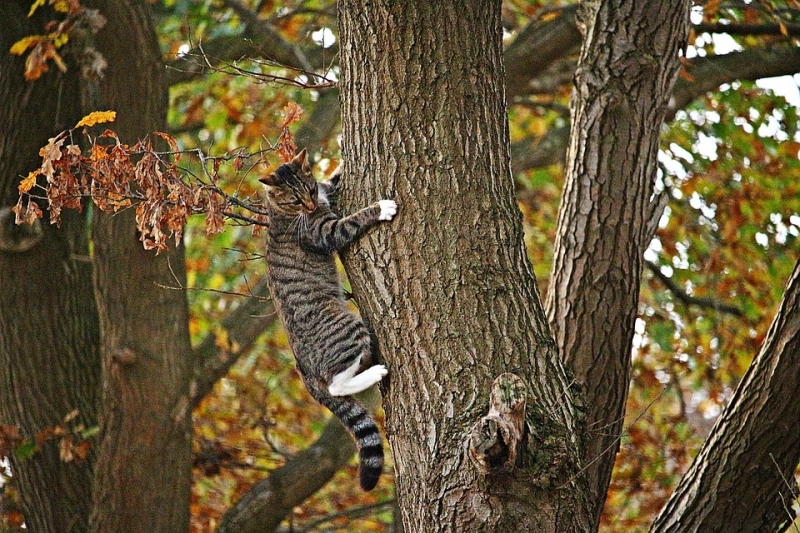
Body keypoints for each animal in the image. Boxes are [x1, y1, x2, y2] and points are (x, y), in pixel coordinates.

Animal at [260, 148, 396, 488]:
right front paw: (380, 208)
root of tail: (303, 369)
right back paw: (372, 374)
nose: (310, 206)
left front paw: (340, 162)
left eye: (309, 191)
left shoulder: (324, 190)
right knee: (335, 386)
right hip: (348, 327)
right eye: (294, 201)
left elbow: (334, 178)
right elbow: (351, 221)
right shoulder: (325, 232)